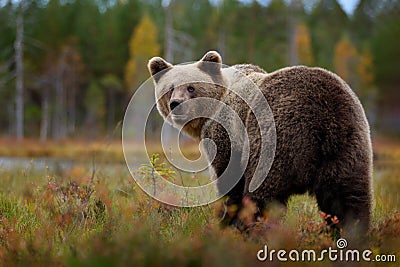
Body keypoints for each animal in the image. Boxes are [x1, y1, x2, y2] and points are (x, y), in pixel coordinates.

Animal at [148, 51, 374, 236]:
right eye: (170, 89)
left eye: (191, 87)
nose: (176, 104)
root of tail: (325, 118)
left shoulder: (230, 136)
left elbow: (230, 181)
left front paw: (225, 220)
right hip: (348, 147)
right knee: (347, 199)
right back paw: (350, 233)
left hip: (276, 139)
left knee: (264, 194)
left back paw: (252, 229)